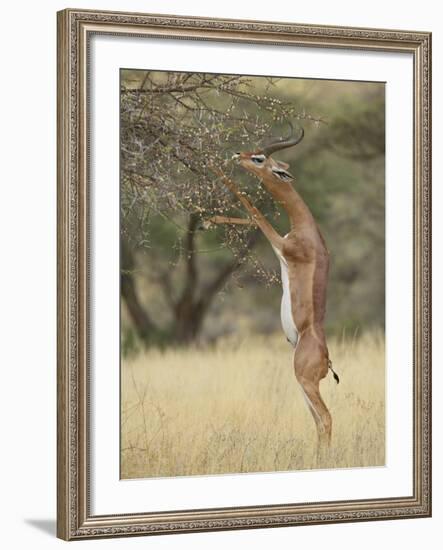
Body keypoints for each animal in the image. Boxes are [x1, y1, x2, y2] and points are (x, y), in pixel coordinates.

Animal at [208, 128, 340, 452]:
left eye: (259, 158)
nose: (237, 154)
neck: (307, 229)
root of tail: (326, 359)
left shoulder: (280, 243)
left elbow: (254, 211)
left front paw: (215, 168)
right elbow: (250, 215)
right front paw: (208, 219)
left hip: (305, 380)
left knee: (326, 419)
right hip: (301, 384)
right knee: (318, 422)